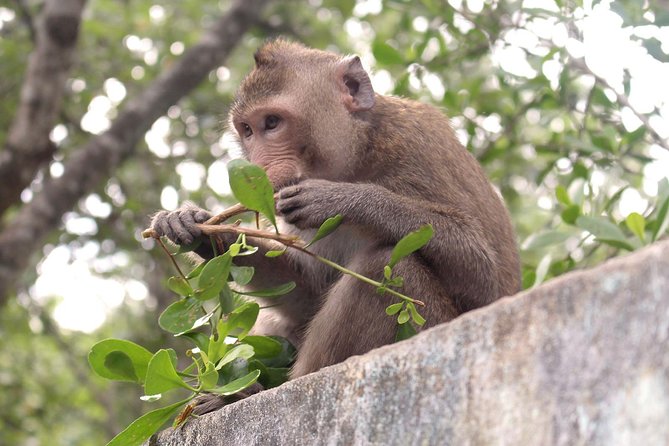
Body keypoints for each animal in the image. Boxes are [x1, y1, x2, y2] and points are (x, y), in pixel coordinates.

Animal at [150, 38, 516, 400]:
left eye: (272, 122)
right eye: (247, 130)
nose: (258, 168)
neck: (358, 156)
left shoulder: (418, 146)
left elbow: (485, 280)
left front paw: (343, 199)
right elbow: (309, 297)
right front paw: (199, 228)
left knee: (389, 266)